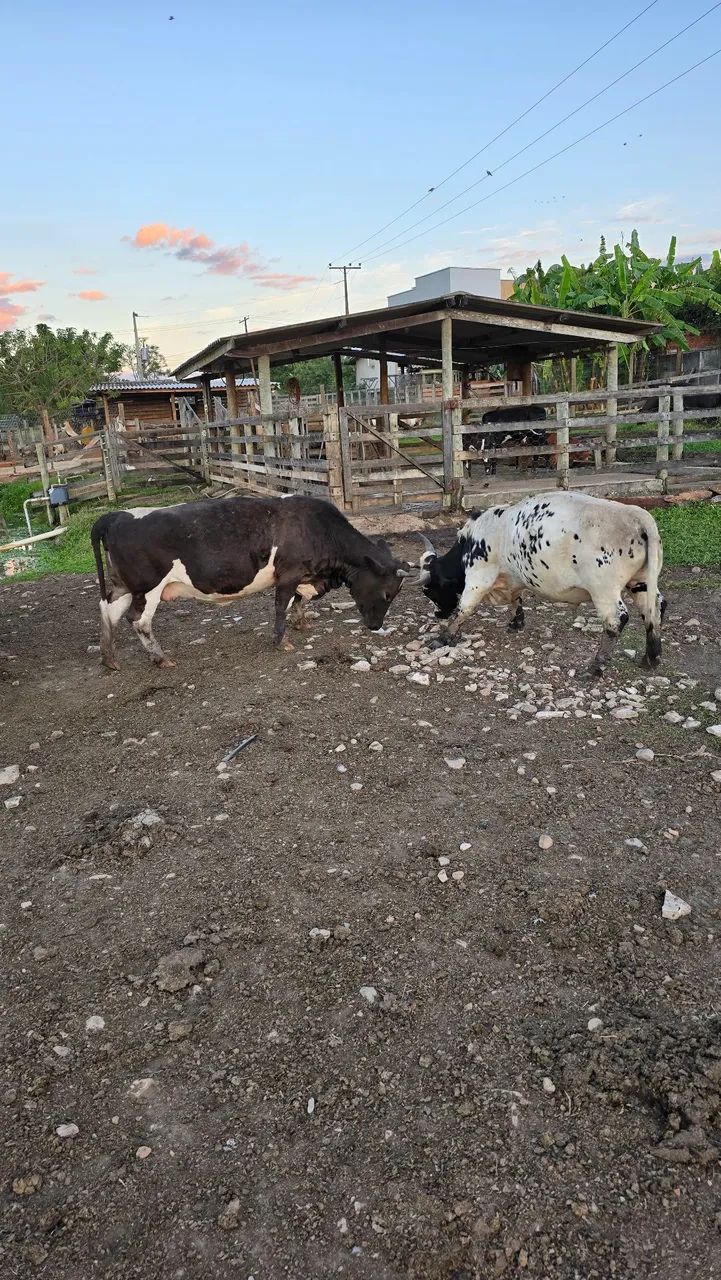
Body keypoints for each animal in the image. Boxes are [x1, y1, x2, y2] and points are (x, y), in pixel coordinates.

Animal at [90, 495, 409, 670]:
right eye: (387, 593)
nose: (376, 626)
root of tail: (117, 516)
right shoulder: (289, 574)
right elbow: (282, 605)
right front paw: (281, 641)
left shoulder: (304, 576)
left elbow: (299, 601)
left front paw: (302, 624)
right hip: (148, 587)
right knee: (139, 620)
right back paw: (159, 658)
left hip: (123, 586)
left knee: (108, 611)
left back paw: (109, 658)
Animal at [417, 491, 666, 677]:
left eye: (430, 590)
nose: (438, 614)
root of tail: (635, 514)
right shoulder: (513, 579)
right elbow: (516, 599)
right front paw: (516, 621)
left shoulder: (478, 577)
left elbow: (464, 608)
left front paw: (443, 637)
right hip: (641, 582)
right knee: (655, 608)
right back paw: (651, 657)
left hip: (604, 590)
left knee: (616, 620)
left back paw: (596, 667)